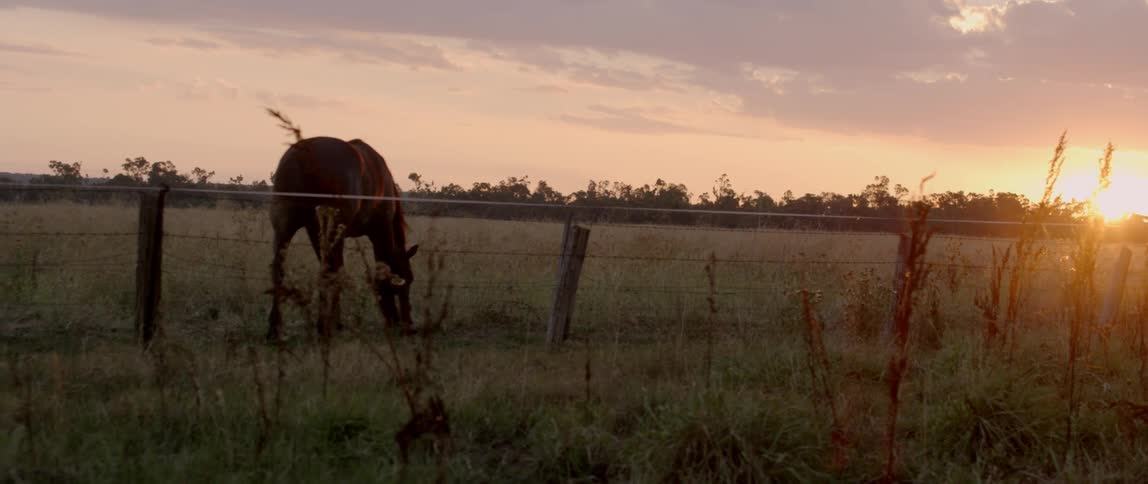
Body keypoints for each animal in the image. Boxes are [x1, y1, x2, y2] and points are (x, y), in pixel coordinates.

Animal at [266, 136, 418, 343]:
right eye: (405, 282)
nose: (407, 328)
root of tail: (302, 154)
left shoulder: (318, 232)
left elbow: (337, 270)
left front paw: (336, 322)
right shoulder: (379, 230)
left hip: (284, 226)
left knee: (279, 270)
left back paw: (275, 329)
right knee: (324, 273)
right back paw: (322, 328)